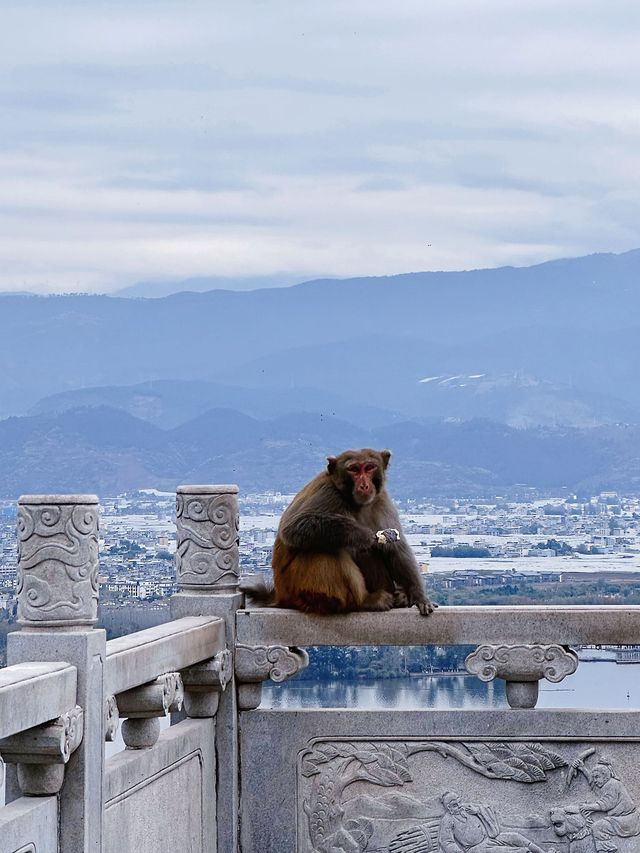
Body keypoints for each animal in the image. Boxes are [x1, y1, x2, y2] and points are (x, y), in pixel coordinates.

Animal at [242, 450, 438, 616]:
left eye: (369, 467)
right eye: (353, 469)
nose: (364, 484)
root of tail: (280, 595)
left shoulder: (381, 500)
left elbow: (395, 547)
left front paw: (419, 596)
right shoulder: (327, 492)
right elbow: (294, 527)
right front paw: (363, 535)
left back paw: (399, 597)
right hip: (298, 587)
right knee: (327, 549)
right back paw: (365, 601)